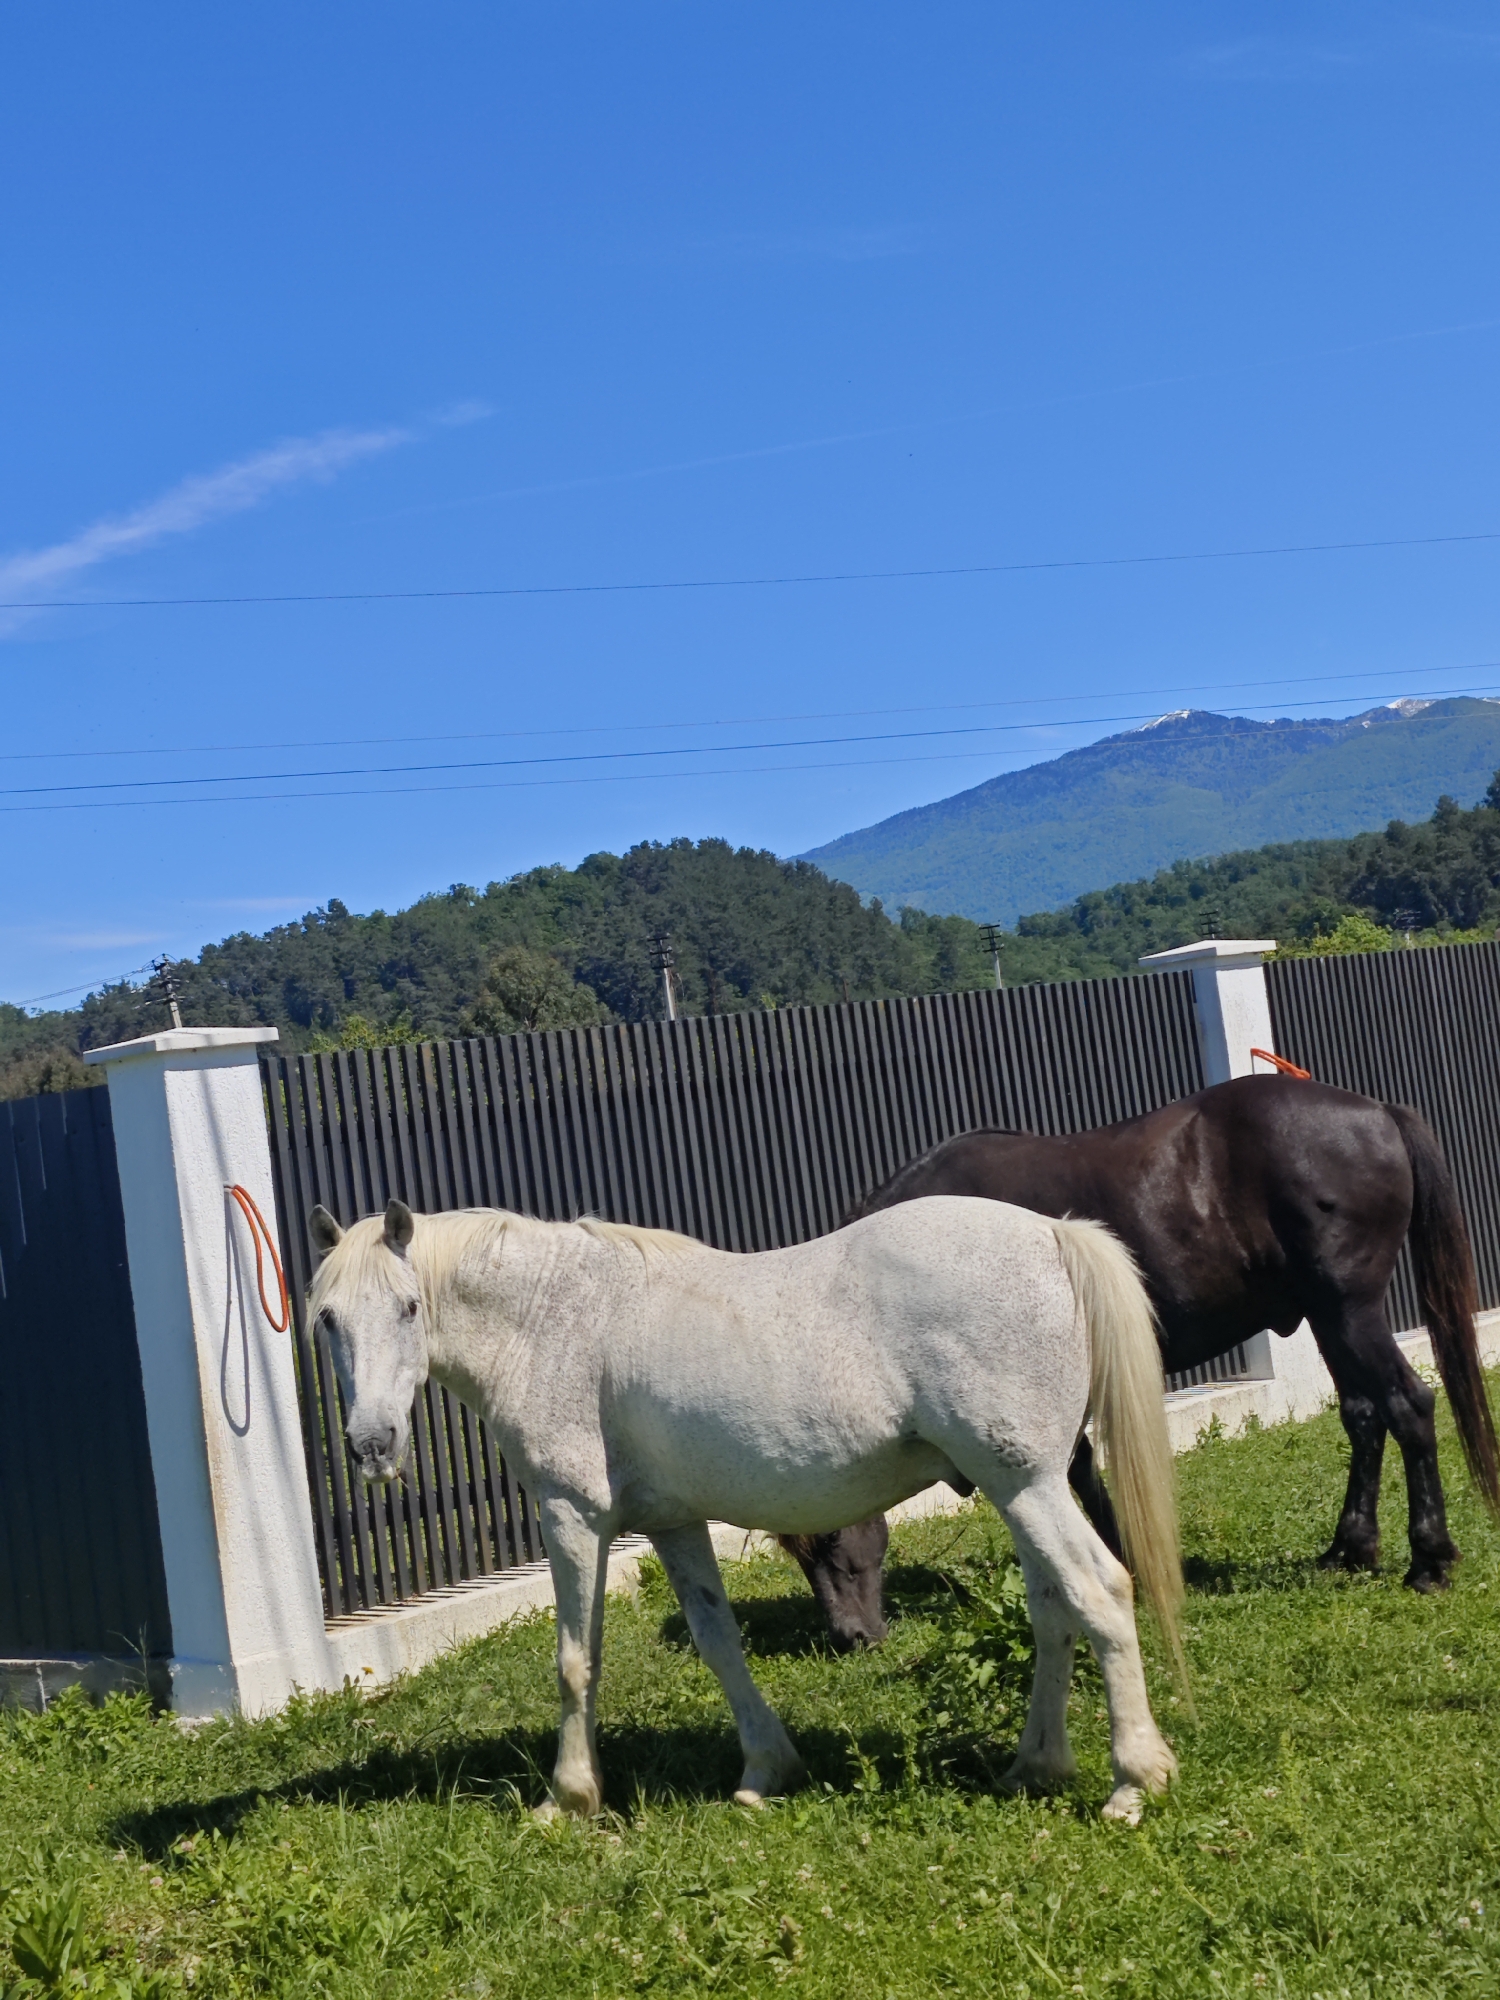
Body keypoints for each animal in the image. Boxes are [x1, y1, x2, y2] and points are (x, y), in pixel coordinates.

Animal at [307, 1193, 1185, 1823]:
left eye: (409, 1308)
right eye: (327, 1319)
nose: (373, 1445)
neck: (554, 1318)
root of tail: (1053, 1234)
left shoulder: (572, 1515)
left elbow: (575, 1659)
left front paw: (571, 1797)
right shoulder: (673, 1523)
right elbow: (718, 1641)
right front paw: (766, 1768)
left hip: (1028, 1485)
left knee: (1101, 1591)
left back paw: (1134, 1781)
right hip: (1020, 1489)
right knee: (1052, 1607)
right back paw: (1035, 1764)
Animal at [796, 1074, 1500, 1646]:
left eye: (827, 1538)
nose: (851, 1638)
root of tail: (1375, 1111)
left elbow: (1074, 1477)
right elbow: (1082, 1475)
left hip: (1349, 1312)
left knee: (1407, 1407)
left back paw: (1430, 1560)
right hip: (1329, 1318)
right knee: (1362, 1416)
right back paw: (1349, 1548)